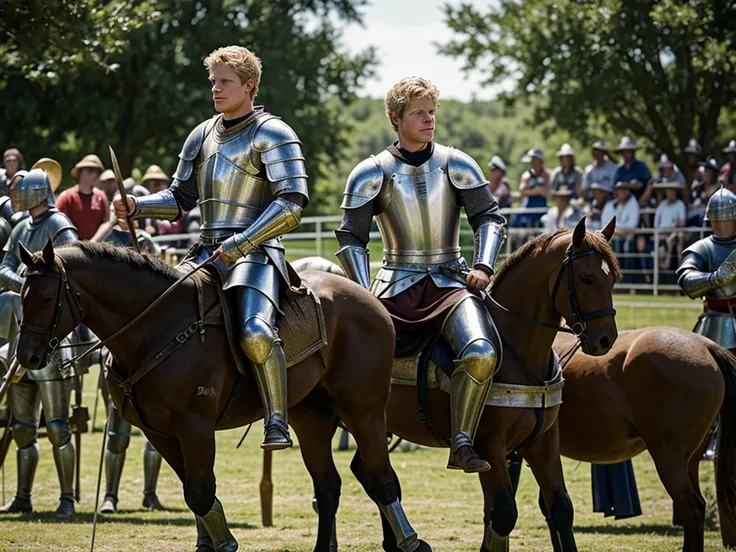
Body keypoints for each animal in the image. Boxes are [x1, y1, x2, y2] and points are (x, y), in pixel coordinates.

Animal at [14, 242, 434, 552]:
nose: (27, 357)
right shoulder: (160, 433)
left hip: (365, 412)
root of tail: (373, 301)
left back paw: (412, 542)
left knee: (381, 478)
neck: (155, 327)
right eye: (21, 293)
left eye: (47, 297)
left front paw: (226, 543)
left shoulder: (195, 427)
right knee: (329, 487)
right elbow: (195, 495)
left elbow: (201, 495)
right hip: (311, 416)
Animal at [304, 220, 620, 552]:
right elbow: (503, 513)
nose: (605, 339)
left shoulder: (543, 443)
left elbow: (559, 509)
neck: (519, 350)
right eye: (586, 279)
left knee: (367, 472)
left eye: (612, 277)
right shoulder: (488, 445)